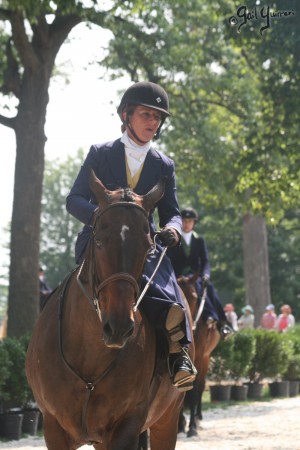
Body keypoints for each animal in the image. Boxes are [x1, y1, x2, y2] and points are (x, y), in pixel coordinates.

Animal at [26, 170, 195, 450]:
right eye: (99, 242)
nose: (119, 328)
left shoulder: (126, 424)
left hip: (167, 417)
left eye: (148, 246)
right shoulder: (53, 426)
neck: (90, 351)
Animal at [177, 276, 219, 438]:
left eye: (195, 298)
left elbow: (194, 390)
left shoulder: (200, 357)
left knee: (201, 386)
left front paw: (192, 427)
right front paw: (181, 425)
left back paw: (197, 419)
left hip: (206, 358)